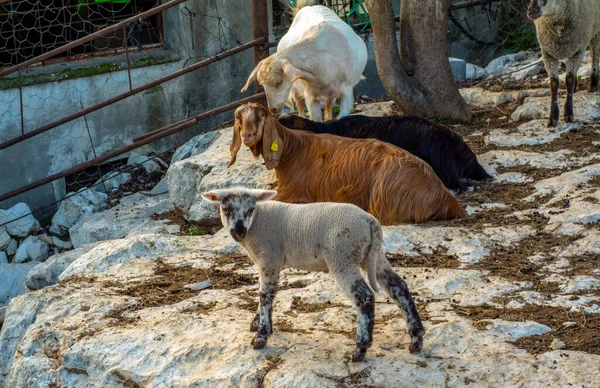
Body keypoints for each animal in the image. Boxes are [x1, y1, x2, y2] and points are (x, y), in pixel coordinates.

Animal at [202, 186, 426, 362]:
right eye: (225, 208)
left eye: (250, 209)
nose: (238, 232)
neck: (258, 222)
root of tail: (370, 221)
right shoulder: (268, 262)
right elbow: (266, 293)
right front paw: (258, 323)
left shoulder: (269, 258)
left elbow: (265, 295)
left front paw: (261, 336)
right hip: (373, 255)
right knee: (399, 287)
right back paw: (416, 338)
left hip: (342, 255)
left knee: (364, 296)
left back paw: (360, 349)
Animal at [227, 101, 466, 226]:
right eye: (240, 119)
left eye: (260, 118)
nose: (247, 136)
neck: (294, 148)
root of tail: (445, 198)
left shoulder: (294, 192)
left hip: (383, 196)